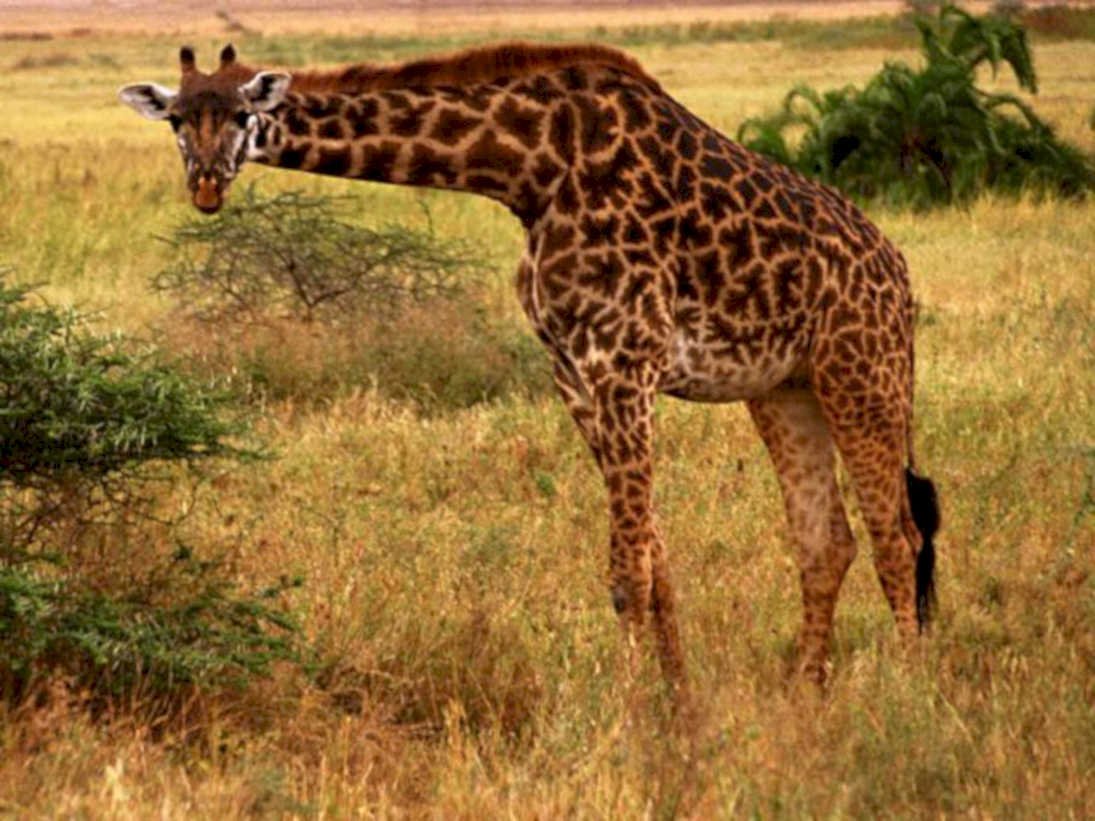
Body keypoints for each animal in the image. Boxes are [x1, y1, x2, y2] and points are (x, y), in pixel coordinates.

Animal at [120, 42, 940, 695]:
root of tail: (897, 269)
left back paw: (908, 690)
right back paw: (806, 689)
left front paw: (632, 717)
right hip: (784, 389)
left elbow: (629, 571)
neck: (529, 169)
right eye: (176, 120)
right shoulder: (574, 369)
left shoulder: (625, 359)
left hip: (862, 370)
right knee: (826, 541)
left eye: (240, 114)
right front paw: (677, 701)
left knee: (895, 532)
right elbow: (653, 562)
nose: (206, 183)